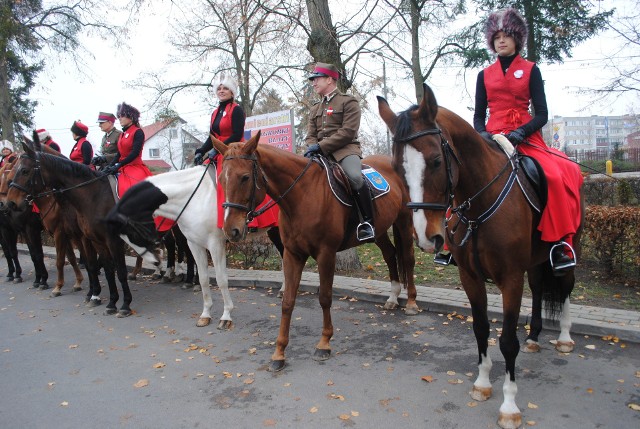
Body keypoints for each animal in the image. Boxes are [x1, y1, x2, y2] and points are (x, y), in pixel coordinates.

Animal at [6, 132, 134, 316]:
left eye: (24, 170)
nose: (10, 203)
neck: (94, 196)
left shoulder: (110, 239)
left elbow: (119, 271)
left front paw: (124, 305)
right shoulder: (91, 238)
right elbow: (104, 268)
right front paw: (108, 301)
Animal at [104, 164, 282, 328]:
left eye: (132, 234)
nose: (155, 261)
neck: (194, 199)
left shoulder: (215, 244)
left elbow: (221, 279)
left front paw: (226, 315)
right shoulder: (194, 244)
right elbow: (203, 279)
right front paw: (206, 314)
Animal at [212, 130, 418, 372]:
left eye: (245, 177)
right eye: (221, 179)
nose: (231, 230)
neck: (303, 195)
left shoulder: (325, 254)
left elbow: (325, 297)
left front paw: (324, 343)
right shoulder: (292, 254)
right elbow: (288, 301)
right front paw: (279, 353)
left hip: (404, 222)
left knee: (408, 258)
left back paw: (411, 302)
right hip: (379, 231)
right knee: (390, 254)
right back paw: (393, 297)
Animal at [380, 83, 584, 428]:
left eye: (436, 161)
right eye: (397, 168)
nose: (427, 237)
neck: (480, 205)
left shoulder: (511, 280)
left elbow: (507, 341)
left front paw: (509, 406)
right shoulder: (470, 277)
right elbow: (481, 329)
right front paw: (482, 384)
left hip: (569, 247)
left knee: (565, 287)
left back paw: (565, 336)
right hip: (535, 261)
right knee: (540, 289)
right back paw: (534, 336)